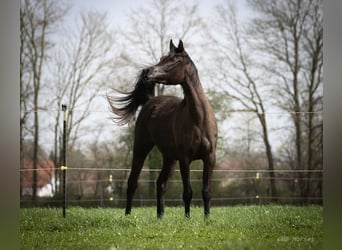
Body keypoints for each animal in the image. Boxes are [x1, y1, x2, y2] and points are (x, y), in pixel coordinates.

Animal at [108, 40, 218, 218]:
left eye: (173, 60)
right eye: (161, 58)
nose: (147, 72)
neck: (199, 119)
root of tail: (150, 101)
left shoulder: (209, 158)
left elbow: (206, 191)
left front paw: (207, 219)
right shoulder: (185, 159)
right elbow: (187, 192)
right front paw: (187, 218)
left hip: (169, 158)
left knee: (160, 183)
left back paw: (160, 216)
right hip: (141, 148)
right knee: (132, 182)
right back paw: (128, 215)